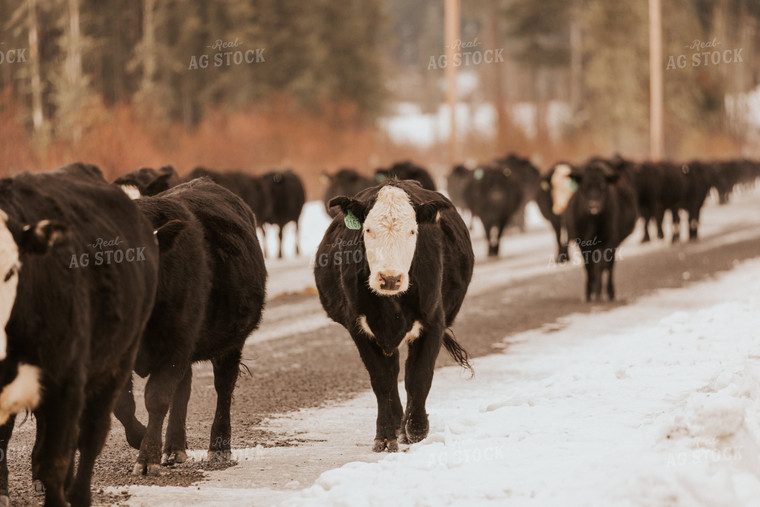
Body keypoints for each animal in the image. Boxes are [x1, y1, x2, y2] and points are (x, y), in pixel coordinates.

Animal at [111, 180, 268, 476]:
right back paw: (174, 447)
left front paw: (147, 457)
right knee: (183, 390)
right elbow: (123, 404)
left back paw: (218, 448)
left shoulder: (176, 347)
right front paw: (141, 439)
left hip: (230, 343)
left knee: (223, 388)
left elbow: (157, 398)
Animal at [316, 180, 476, 452]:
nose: (390, 278)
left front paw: (417, 431)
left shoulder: (433, 321)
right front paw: (384, 435)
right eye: (368, 229)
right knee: (391, 373)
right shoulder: (358, 326)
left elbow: (419, 376)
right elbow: (382, 379)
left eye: (412, 231)